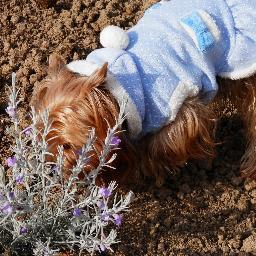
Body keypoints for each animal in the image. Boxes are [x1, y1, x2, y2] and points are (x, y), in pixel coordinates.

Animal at [30, 0, 256, 184]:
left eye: (67, 146)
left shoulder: (176, 106)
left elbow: (163, 143)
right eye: (42, 138)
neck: (115, 92)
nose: (51, 171)